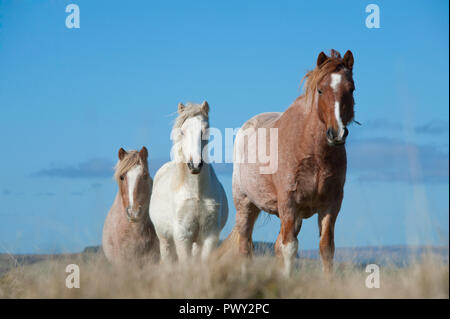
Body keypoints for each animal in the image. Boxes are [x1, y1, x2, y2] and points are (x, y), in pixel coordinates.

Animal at [149, 102, 229, 262]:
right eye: (182, 131)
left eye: (205, 129)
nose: (195, 165)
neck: (196, 192)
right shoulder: (182, 236)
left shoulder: (209, 237)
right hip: (165, 241)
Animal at [219, 49, 356, 276]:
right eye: (320, 90)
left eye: (351, 89)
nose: (337, 133)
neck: (314, 155)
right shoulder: (289, 204)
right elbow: (290, 248)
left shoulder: (331, 205)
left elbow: (326, 248)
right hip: (246, 205)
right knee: (245, 246)